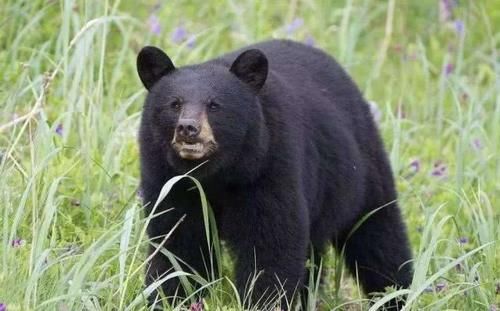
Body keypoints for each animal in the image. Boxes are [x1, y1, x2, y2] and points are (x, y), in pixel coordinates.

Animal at [135, 39, 412, 310]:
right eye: (175, 104)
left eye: (214, 105)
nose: (188, 128)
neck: (216, 173)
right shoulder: (169, 179)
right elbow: (178, 241)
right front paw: (170, 299)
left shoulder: (269, 166)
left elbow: (271, 243)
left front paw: (263, 301)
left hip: (361, 170)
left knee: (378, 236)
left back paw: (395, 296)